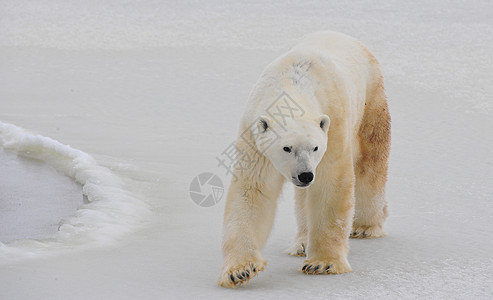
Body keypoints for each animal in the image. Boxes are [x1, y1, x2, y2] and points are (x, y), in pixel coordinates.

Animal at [217, 31, 390, 288]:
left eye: (315, 147)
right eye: (286, 148)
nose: (305, 175)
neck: (292, 86)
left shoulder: (333, 125)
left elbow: (330, 186)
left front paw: (323, 263)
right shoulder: (254, 139)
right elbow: (253, 191)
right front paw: (240, 270)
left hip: (371, 99)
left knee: (371, 161)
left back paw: (365, 226)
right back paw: (301, 242)